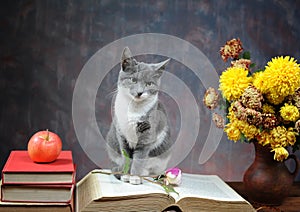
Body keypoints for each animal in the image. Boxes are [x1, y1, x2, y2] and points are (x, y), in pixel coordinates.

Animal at [106, 46, 173, 182]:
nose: (139, 92)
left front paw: (135, 177)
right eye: (133, 80)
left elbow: (139, 159)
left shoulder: (147, 136)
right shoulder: (122, 135)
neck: (134, 109)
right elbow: (127, 157)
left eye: (149, 84)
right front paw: (126, 175)